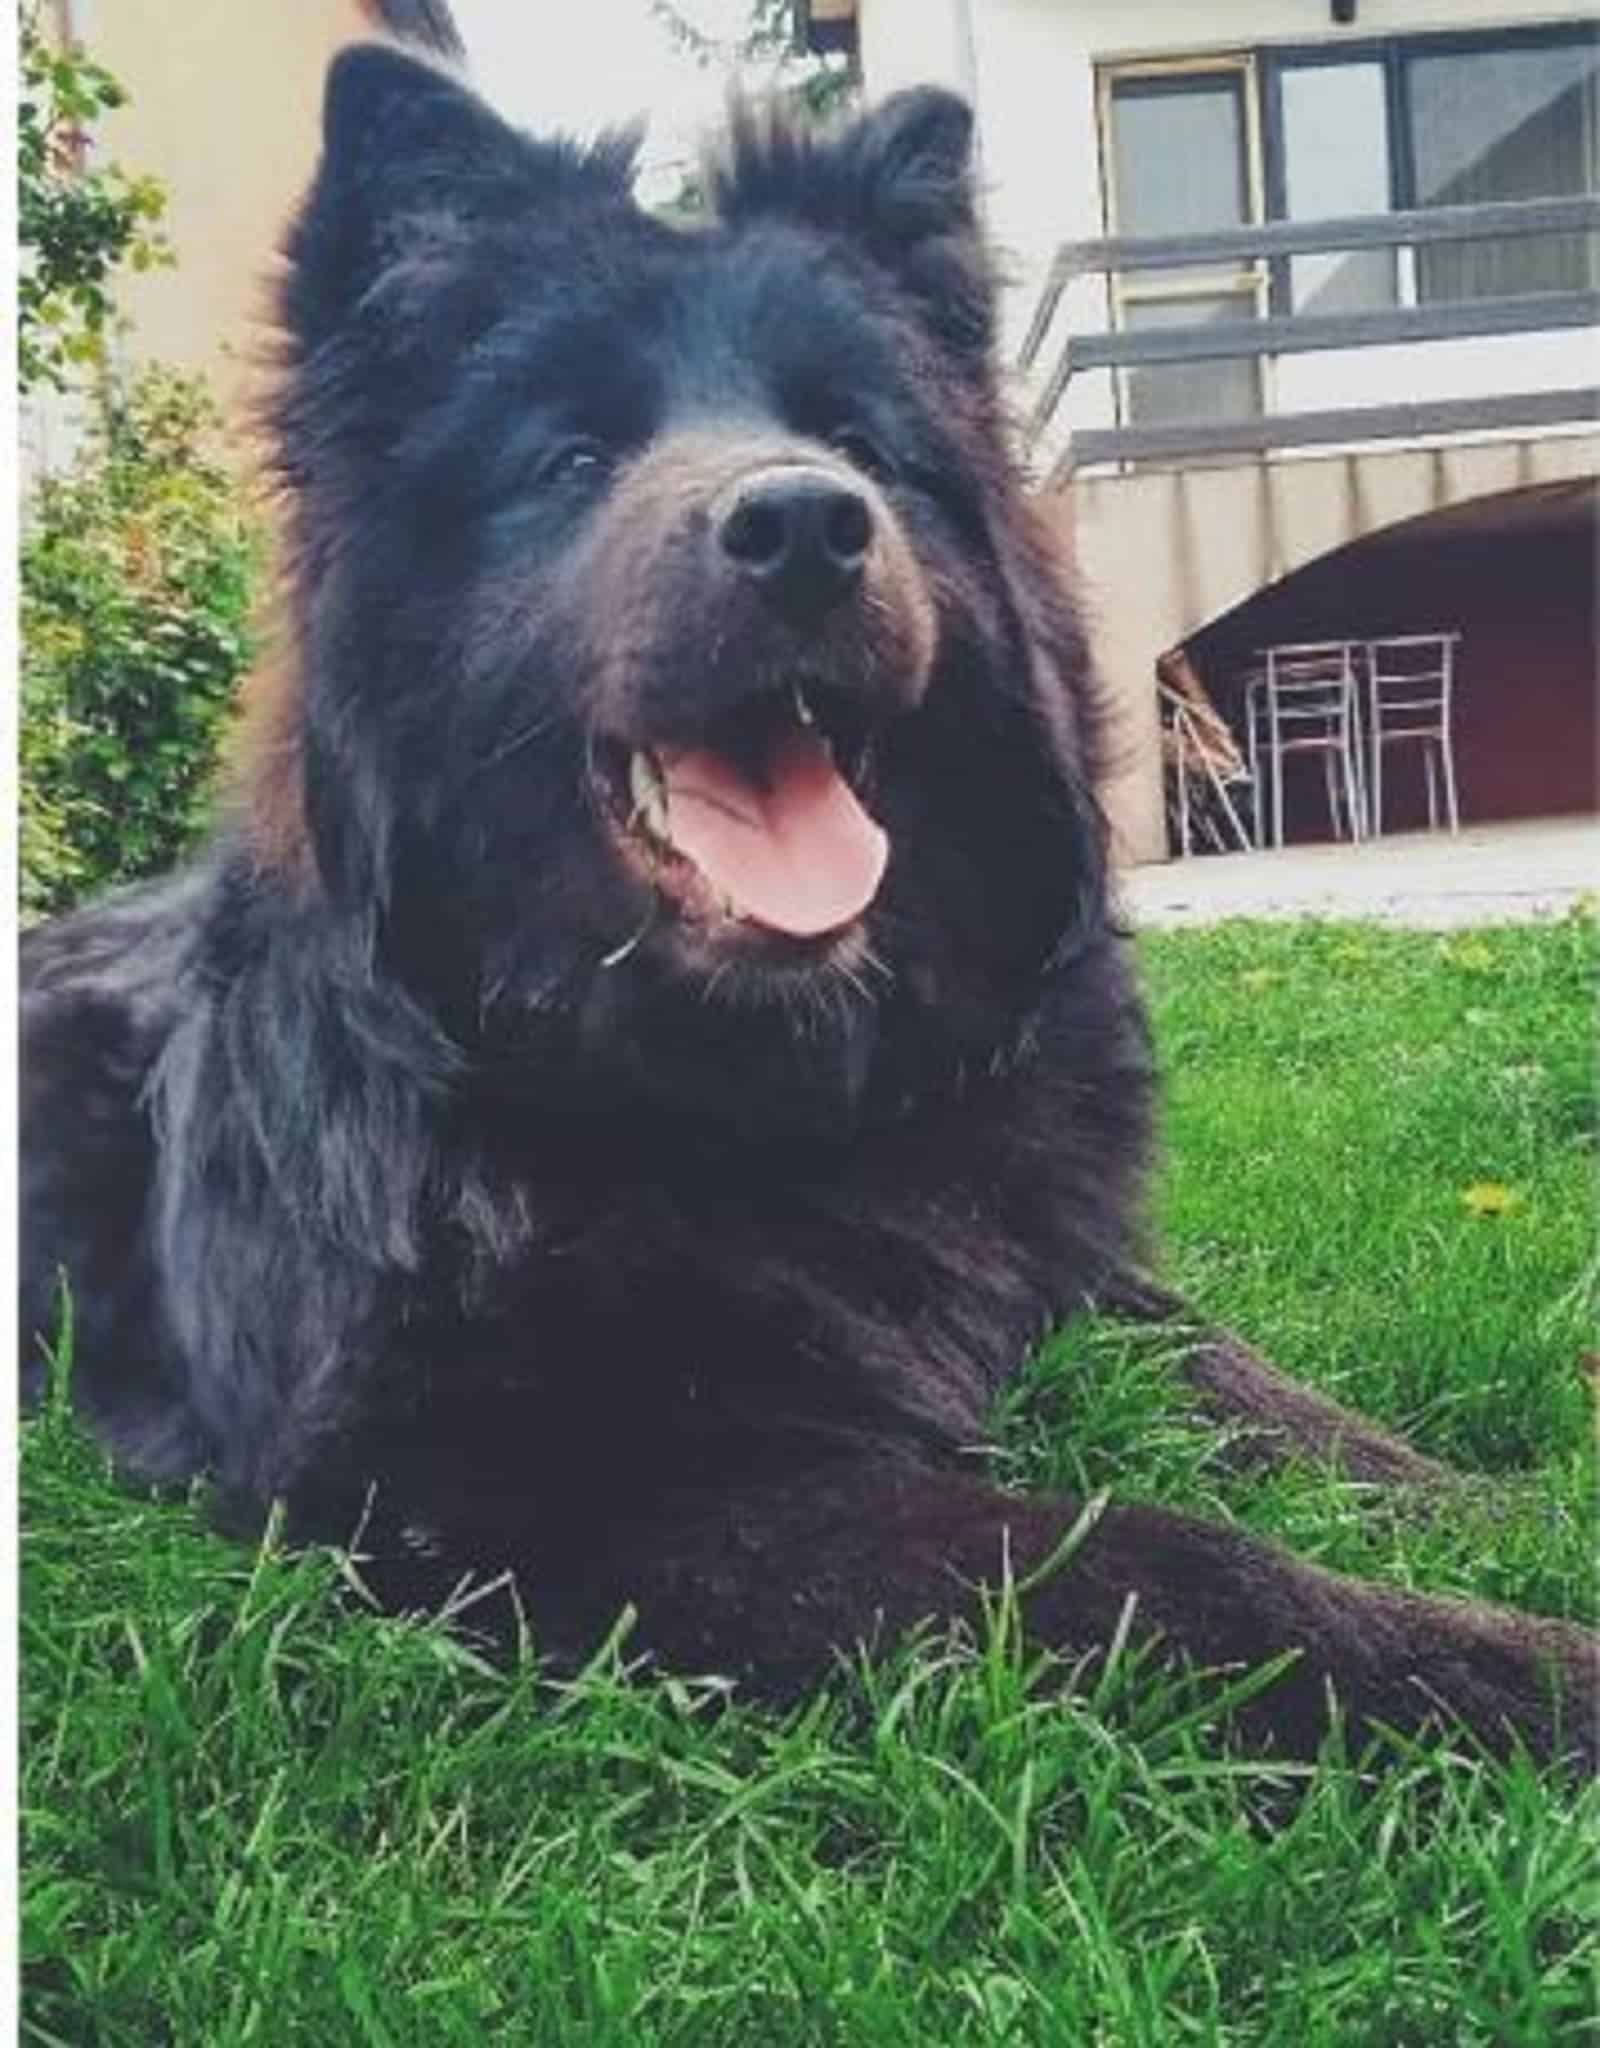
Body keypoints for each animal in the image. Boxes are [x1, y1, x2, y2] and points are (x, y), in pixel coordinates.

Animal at [18, 56, 1589, 1769]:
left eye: (856, 441)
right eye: (574, 459)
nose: (803, 526)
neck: (774, 1104)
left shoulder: (1081, 1296)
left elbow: (1294, 1409)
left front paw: (1513, 1514)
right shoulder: (538, 1499)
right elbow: (1159, 1561)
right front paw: (1522, 1674)